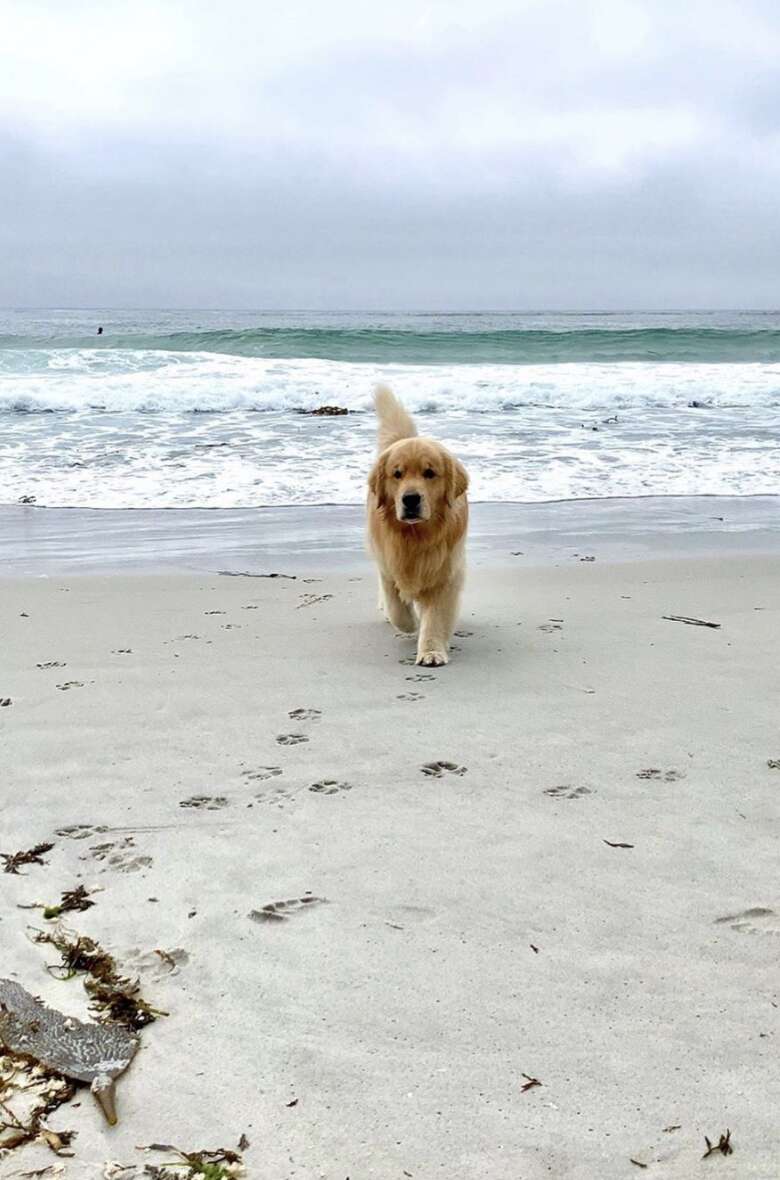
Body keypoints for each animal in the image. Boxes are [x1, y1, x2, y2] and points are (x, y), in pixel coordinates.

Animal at [365, 384, 469, 665]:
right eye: (397, 474)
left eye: (429, 473)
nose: (410, 499)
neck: (415, 536)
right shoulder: (388, 566)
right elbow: (398, 609)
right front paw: (410, 623)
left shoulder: (445, 574)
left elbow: (435, 618)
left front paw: (431, 651)